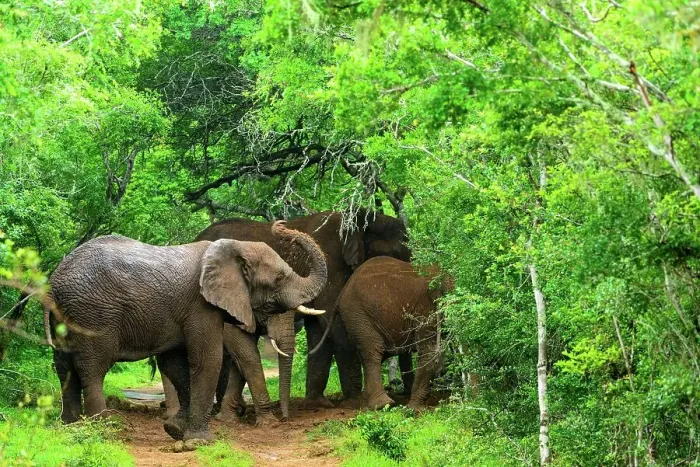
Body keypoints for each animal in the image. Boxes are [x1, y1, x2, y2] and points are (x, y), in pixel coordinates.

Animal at [45, 221, 327, 442]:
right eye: (279, 279)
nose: (279, 225)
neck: (233, 248)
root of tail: (53, 283)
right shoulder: (200, 305)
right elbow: (208, 358)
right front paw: (200, 441)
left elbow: (175, 363)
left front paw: (175, 430)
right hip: (93, 315)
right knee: (92, 368)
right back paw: (104, 428)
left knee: (64, 367)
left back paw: (70, 425)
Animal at [162, 209, 410, 420]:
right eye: (396, 254)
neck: (361, 218)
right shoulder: (333, 265)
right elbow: (335, 324)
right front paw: (354, 402)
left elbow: (318, 330)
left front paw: (318, 404)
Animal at [325, 256, 451, 410]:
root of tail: (342, 292)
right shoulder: (426, 308)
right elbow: (430, 352)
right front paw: (414, 409)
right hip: (358, 315)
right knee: (372, 352)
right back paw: (383, 405)